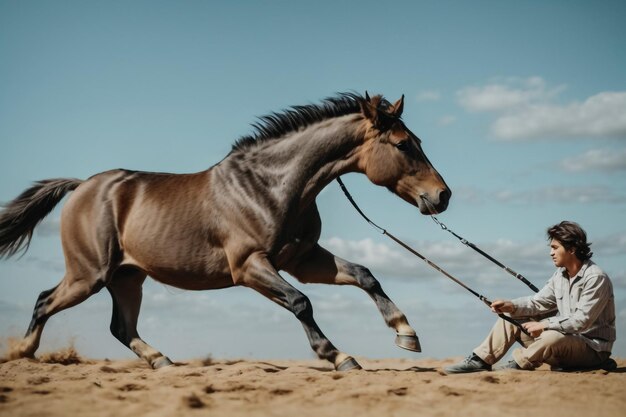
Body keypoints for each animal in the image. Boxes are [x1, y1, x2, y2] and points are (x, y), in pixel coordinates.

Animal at [0, 92, 448, 368]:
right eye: (403, 144)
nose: (442, 196)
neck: (270, 186)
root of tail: (82, 186)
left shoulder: (304, 260)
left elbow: (364, 275)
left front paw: (406, 334)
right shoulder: (249, 266)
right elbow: (300, 302)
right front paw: (339, 357)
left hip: (127, 278)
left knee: (121, 327)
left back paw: (161, 360)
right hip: (88, 275)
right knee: (44, 302)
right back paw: (22, 352)